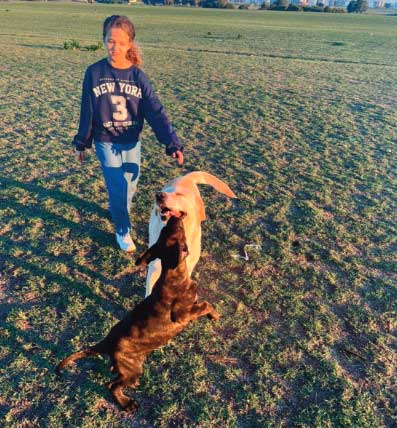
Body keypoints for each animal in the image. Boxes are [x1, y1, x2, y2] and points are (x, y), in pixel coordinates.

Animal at [55, 216, 218, 412]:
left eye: (166, 231)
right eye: (177, 232)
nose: (172, 217)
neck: (173, 273)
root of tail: (107, 342)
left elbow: (202, 303)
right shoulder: (182, 315)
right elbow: (206, 305)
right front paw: (214, 315)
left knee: (115, 376)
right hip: (132, 369)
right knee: (112, 385)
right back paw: (126, 403)